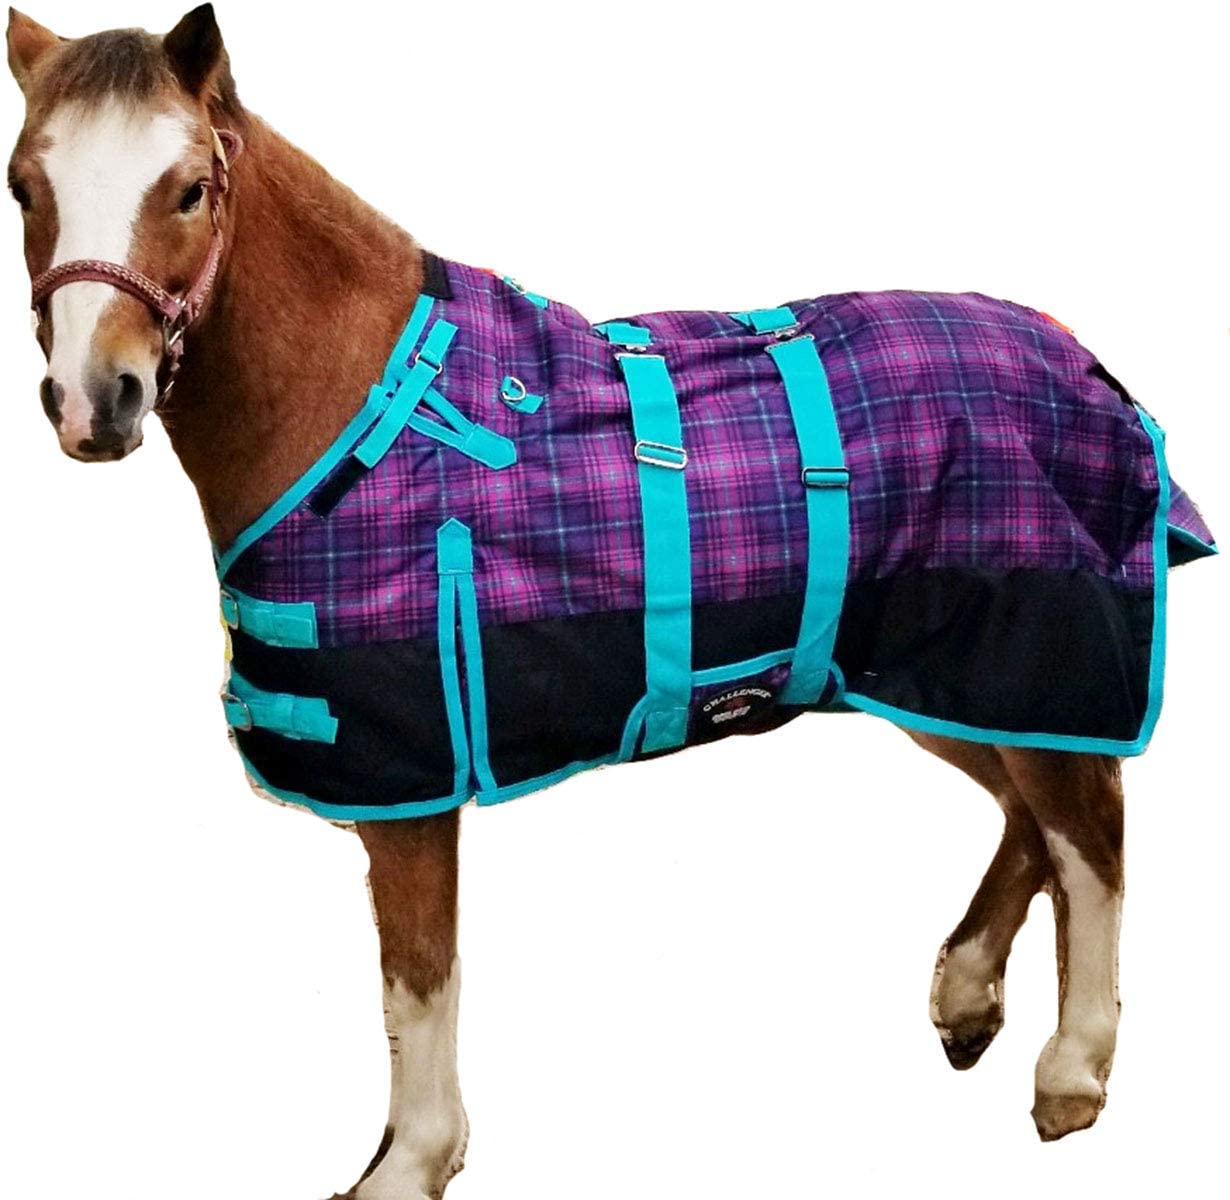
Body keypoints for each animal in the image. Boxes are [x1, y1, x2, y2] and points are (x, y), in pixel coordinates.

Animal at [5, 6, 1217, 1198]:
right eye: (23, 184)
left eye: (188, 188)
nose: (94, 401)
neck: (366, 406)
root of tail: (1081, 360)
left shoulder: (414, 777)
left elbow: (417, 981)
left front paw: (416, 1160)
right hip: (925, 675)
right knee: (1033, 815)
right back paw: (967, 993)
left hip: (1024, 653)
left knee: (1087, 832)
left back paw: (1073, 1068)